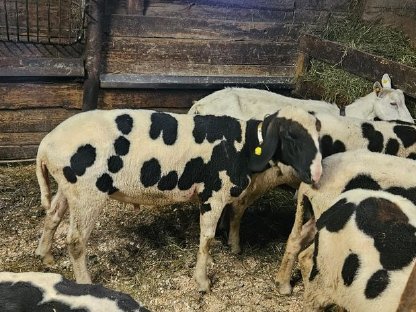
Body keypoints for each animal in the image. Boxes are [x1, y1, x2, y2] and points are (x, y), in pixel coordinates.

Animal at [35, 106, 322, 292]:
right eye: (291, 135)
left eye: (319, 135)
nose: (318, 173)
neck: (244, 147)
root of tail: (46, 144)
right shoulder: (213, 194)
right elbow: (207, 239)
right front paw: (203, 282)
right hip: (87, 192)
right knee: (75, 241)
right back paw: (86, 283)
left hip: (68, 187)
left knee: (53, 216)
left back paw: (45, 256)